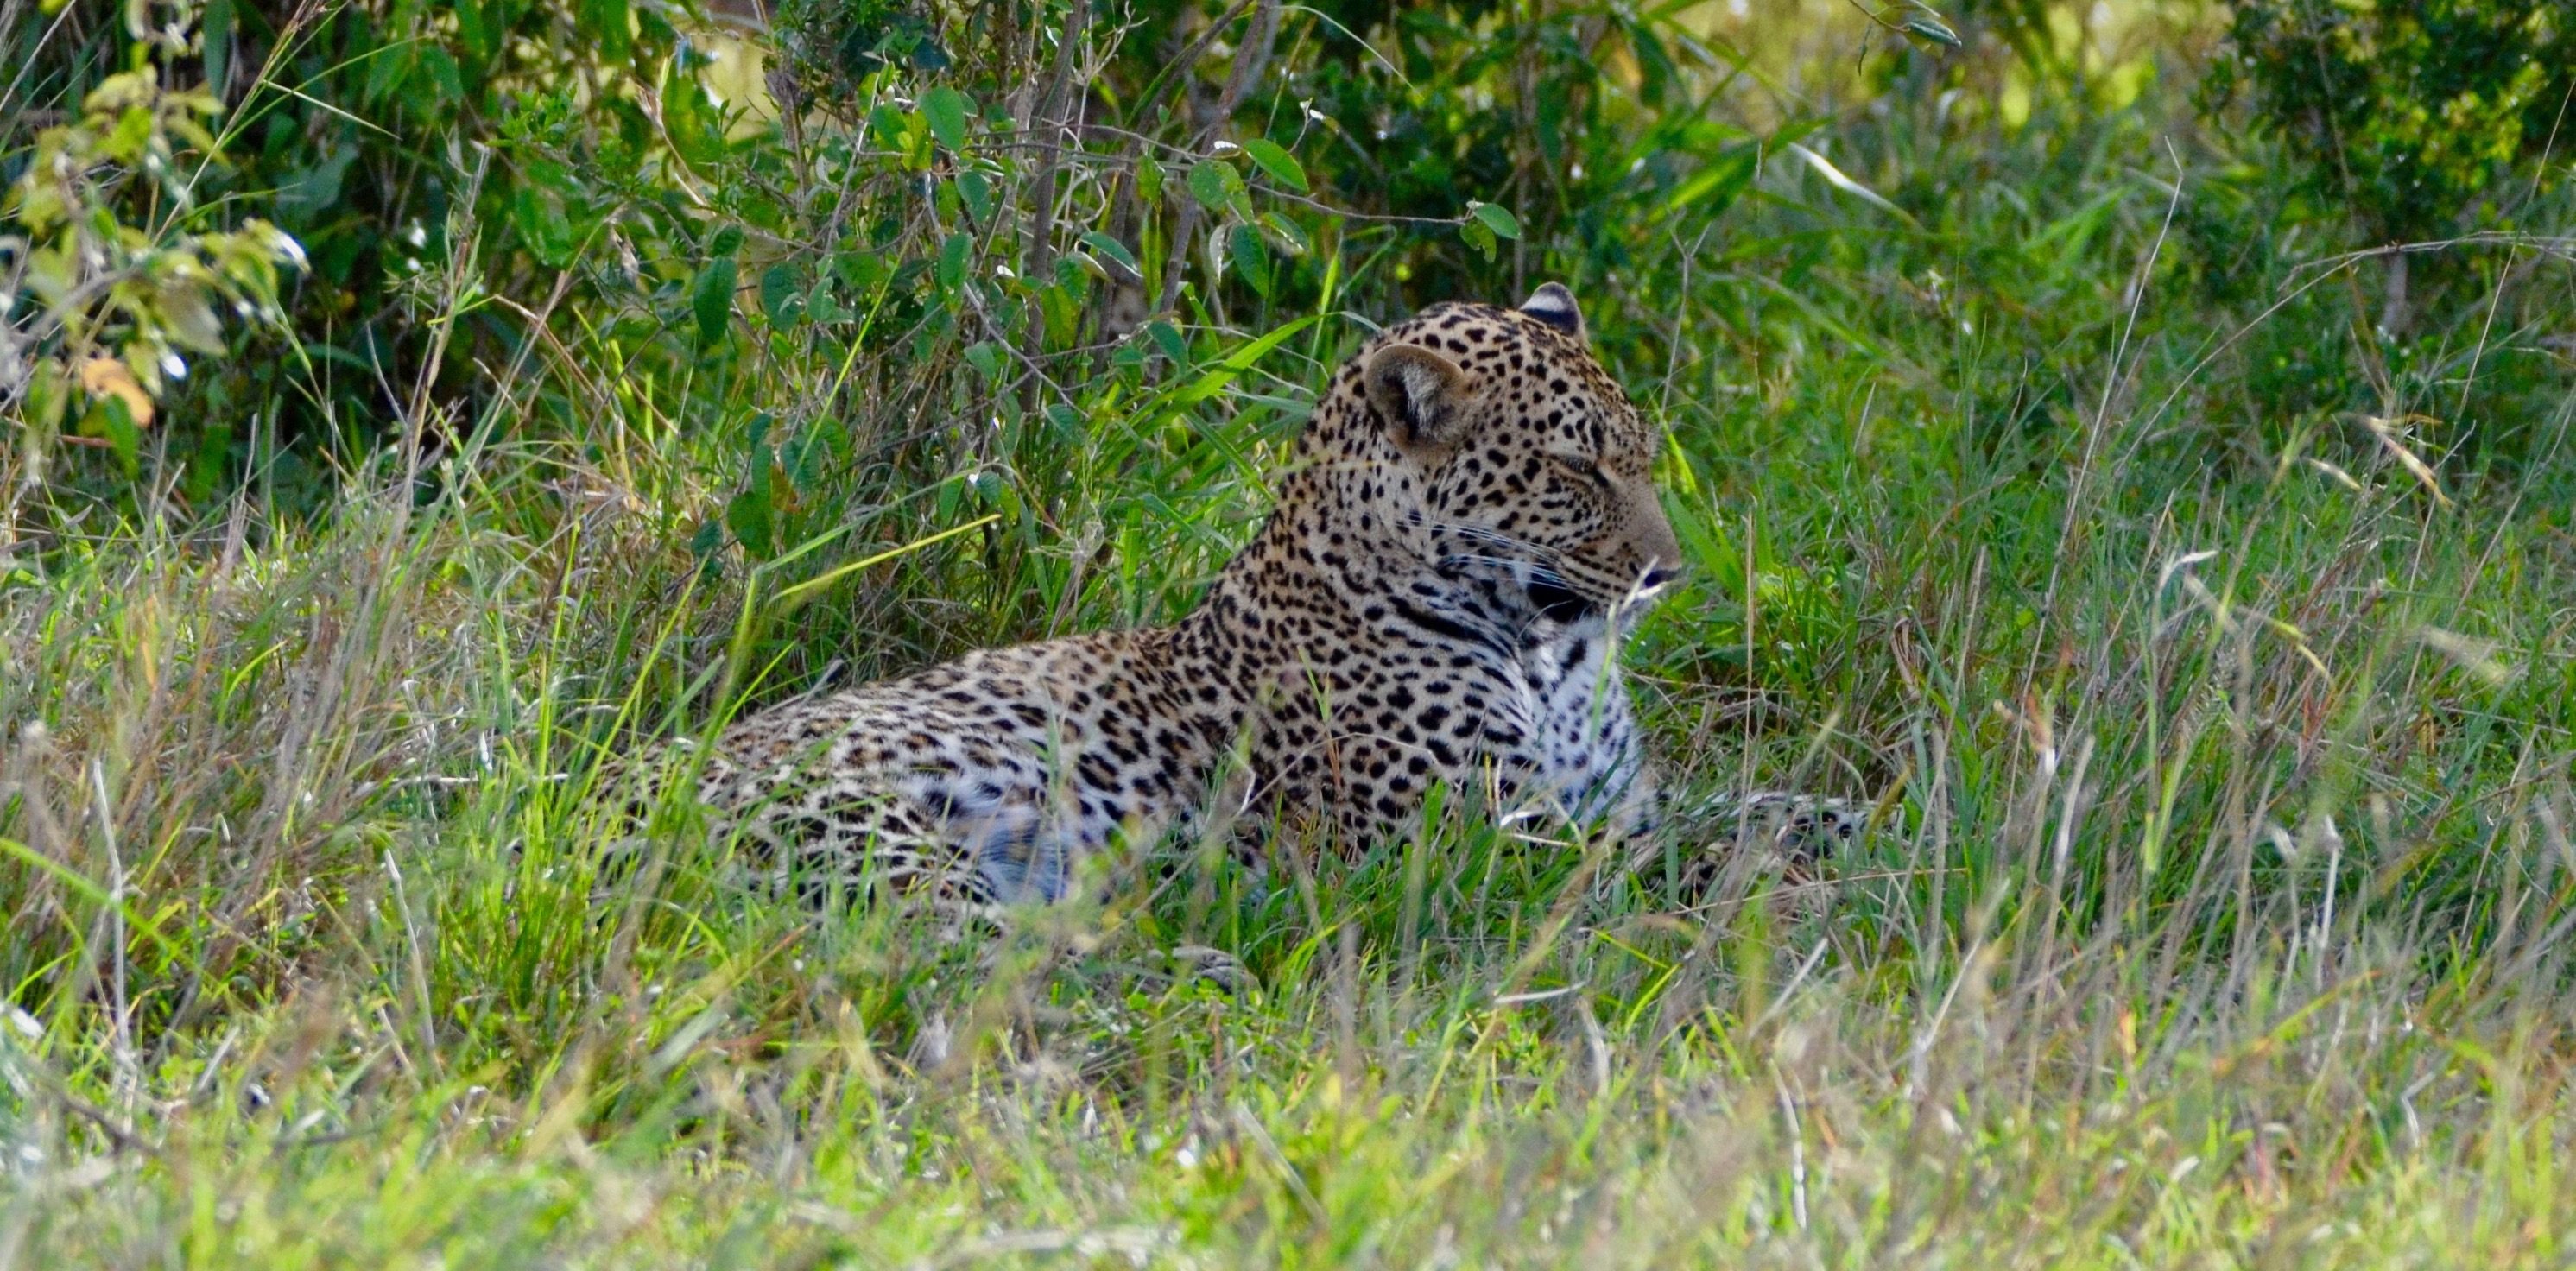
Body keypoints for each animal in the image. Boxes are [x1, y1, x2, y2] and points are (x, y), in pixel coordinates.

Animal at [638, 286, 1854, 917]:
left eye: (1641, 456)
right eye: (1571, 470)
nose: (1669, 573)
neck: (1554, 653)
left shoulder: (1618, 799)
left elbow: (1766, 805)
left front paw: (1870, 822)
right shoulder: (1480, 841)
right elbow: (1687, 863)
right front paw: (1810, 892)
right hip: (890, 845)